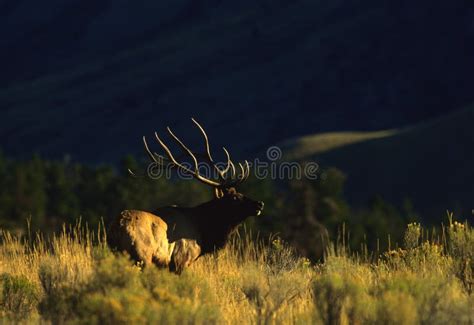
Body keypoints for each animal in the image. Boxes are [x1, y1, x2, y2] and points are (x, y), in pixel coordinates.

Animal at [107, 117, 262, 272]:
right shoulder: (180, 260)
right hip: (142, 256)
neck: (203, 232)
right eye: (235, 198)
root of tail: (119, 226)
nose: (259, 204)